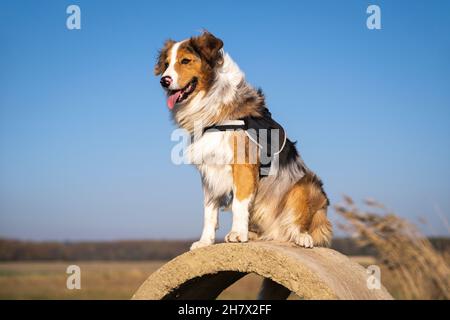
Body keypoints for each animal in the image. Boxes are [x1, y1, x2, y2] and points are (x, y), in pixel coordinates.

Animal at [156, 31, 332, 250]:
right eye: (166, 64)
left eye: (185, 61)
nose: (164, 81)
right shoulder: (209, 171)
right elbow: (209, 212)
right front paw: (205, 241)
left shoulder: (243, 165)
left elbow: (239, 204)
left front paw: (238, 234)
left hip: (306, 186)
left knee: (301, 224)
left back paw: (301, 237)